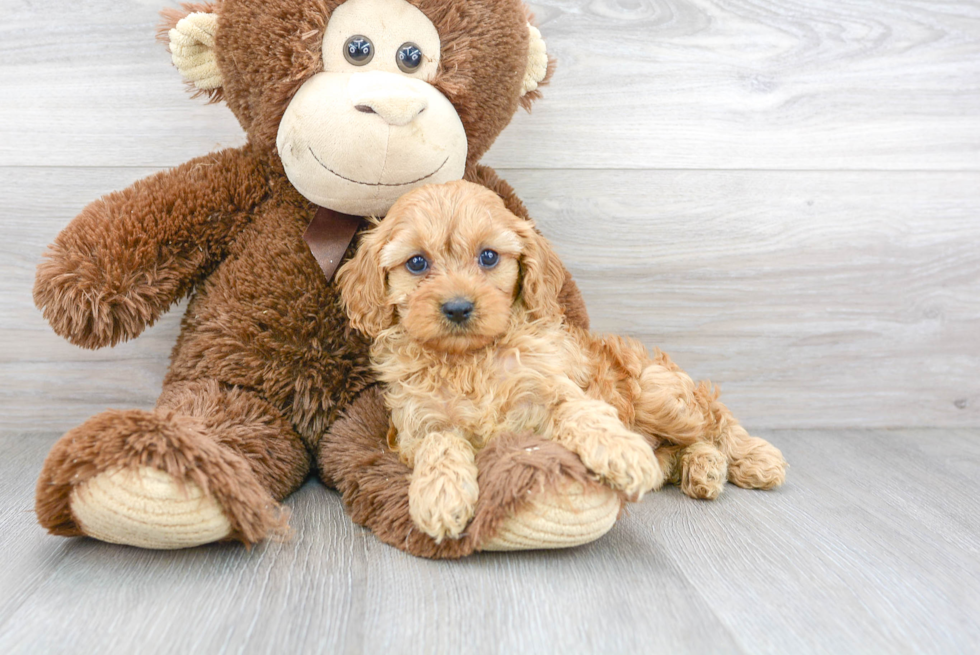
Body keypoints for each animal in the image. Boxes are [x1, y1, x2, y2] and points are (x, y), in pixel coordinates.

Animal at [340, 179, 784, 544]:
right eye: (417, 263)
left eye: (488, 257)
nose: (458, 307)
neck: (470, 358)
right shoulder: (415, 425)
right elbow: (440, 442)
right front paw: (441, 495)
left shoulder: (548, 390)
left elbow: (583, 413)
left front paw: (623, 452)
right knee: (684, 447)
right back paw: (702, 469)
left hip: (661, 395)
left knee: (714, 420)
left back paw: (752, 459)